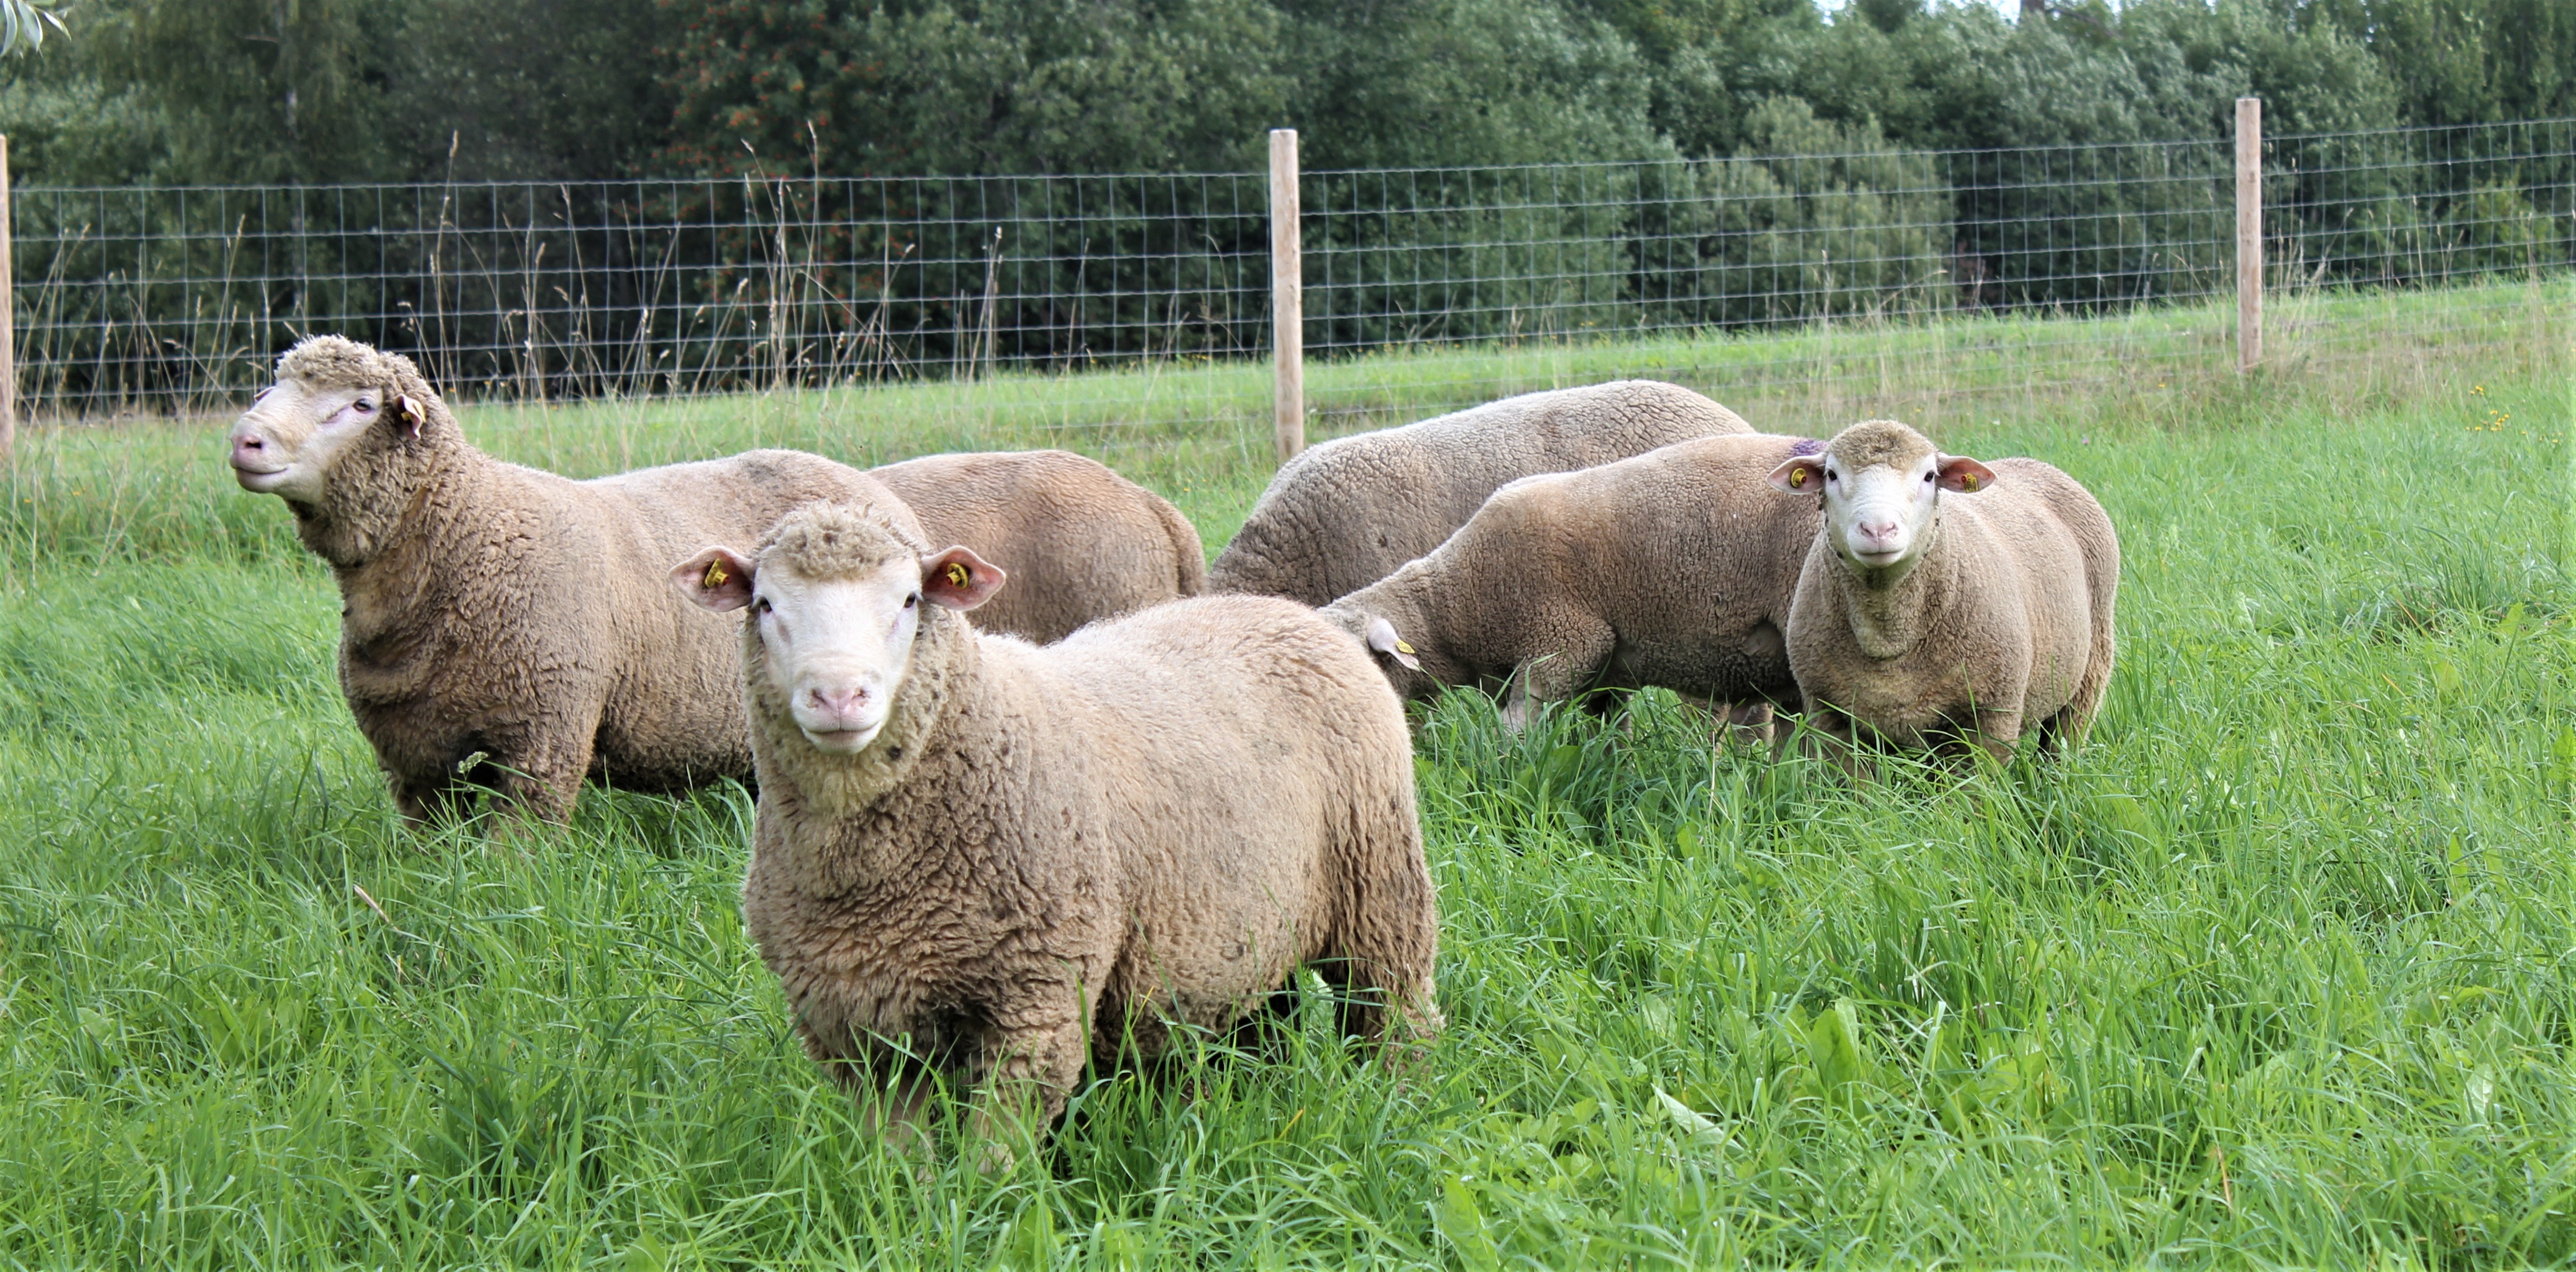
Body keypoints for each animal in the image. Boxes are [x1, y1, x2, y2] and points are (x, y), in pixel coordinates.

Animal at [224, 334, 908, 822]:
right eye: (272, 386)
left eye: (360, 405)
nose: (244, 440)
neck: (470, 533)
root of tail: (874, 488)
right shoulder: (412, 756)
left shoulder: (545, 735)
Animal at [670, 500, 1441, 1162]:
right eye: (765, 604)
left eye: (909, 600)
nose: (837, 695)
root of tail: (1294, 614)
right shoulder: (856, 1029)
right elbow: (898, 1163)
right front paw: (910, 1212)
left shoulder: (1035, 999)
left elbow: (992, 1157)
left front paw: (987, 1218)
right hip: (1246, 924)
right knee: (1262, 1022)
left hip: (1379, 886)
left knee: (1394, 1009)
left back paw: (1399, 1105)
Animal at [1766, 419, 2118, 765]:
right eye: (1832, 475)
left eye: (1929, 476)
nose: (1878, 529)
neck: (1887, 633)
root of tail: (2033, 462)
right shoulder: (1832, 720)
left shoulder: (1992, 717)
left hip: (2091, 669)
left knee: (2063, 743)